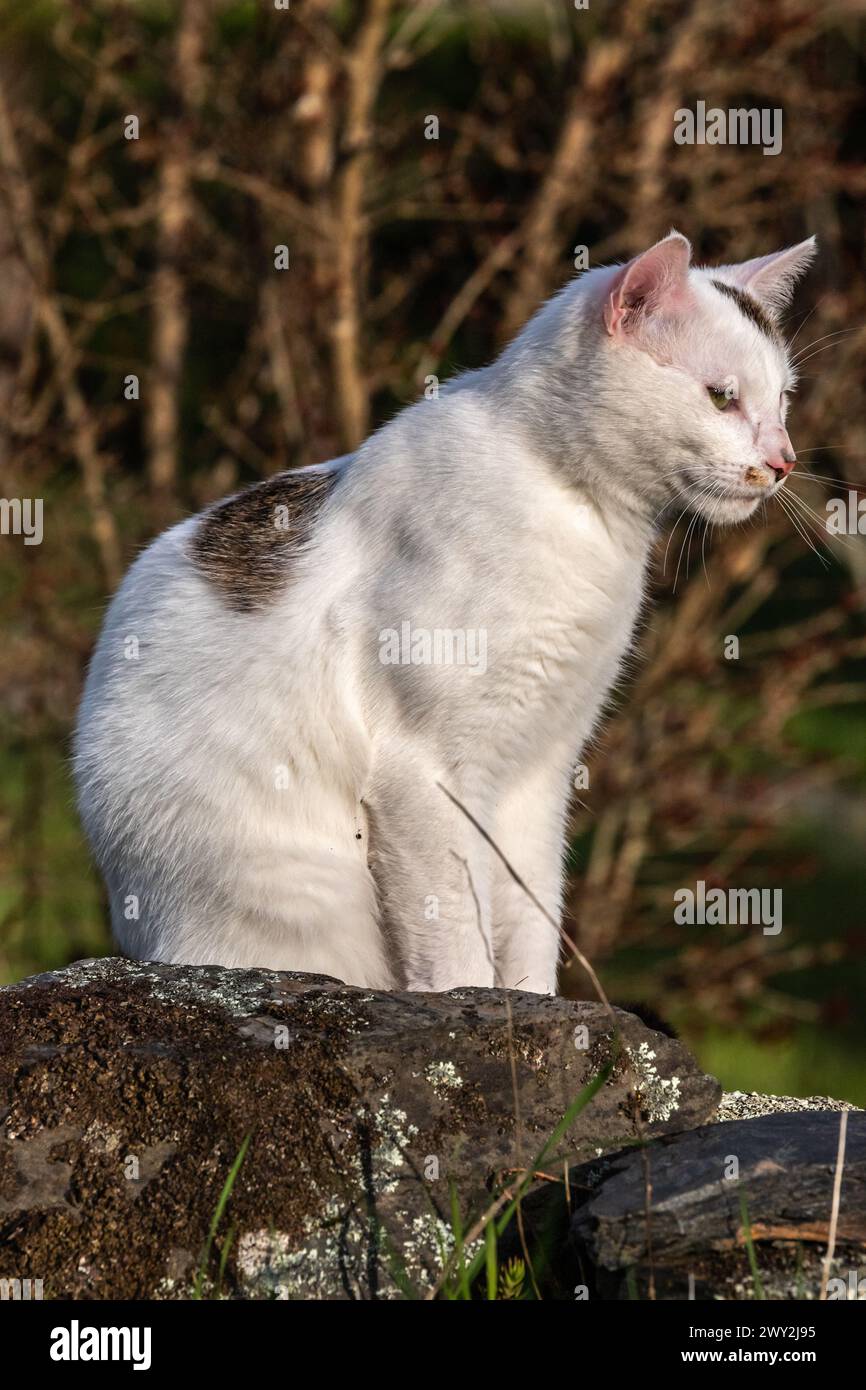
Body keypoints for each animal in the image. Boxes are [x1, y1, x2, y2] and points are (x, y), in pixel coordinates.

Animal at [72, 236, 811, 1000]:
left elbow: (532, 914)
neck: (578, 512)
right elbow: (454, 928)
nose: (783, 460)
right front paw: (466, 998)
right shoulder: (424, 771)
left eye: (784, 398)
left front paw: (527, 1002)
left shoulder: (540, 773)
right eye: (721, 397)